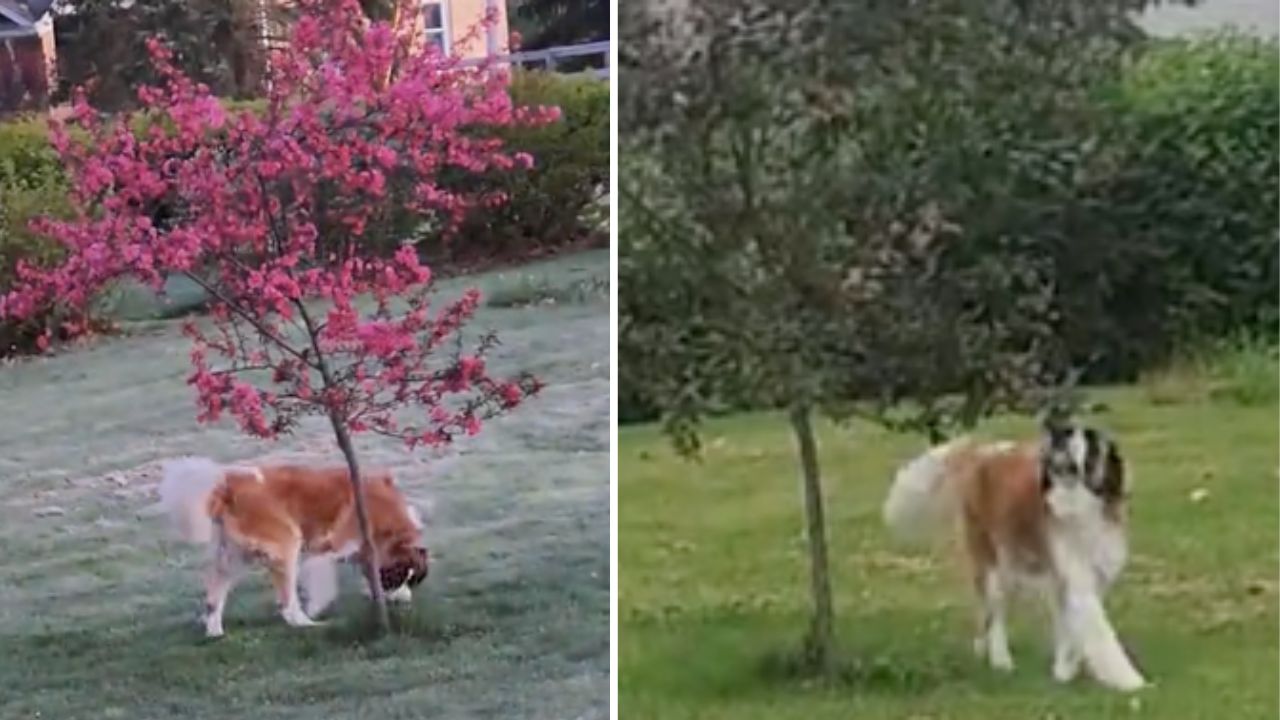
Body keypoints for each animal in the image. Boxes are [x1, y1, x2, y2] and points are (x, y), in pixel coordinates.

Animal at [156, 456, 427, 635]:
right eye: (396, 575)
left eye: (410, 578)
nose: (403, 597)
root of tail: (228, 484)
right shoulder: (329, 548)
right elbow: (325, 583)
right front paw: (318, 608)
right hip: (286, 542)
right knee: (287, 603)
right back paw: (307, 623)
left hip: (235, 555)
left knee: (214, 594)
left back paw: (215, 631)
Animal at [885, 420, 1146, 691]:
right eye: (1069, 430)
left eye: (1089, 435)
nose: (1058, 431)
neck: (1080, 506)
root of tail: (983, 452)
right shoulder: (1077, 580)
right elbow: (1101, 632)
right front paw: (1131, 680)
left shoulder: (1086, 578)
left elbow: (1073, 627)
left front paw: (1064, 670)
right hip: (994, 565)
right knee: (995, 614)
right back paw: (1001, 660)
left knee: (987, 613)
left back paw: (982, 649)